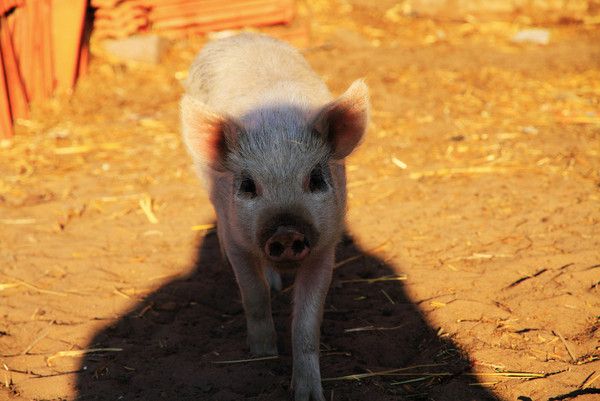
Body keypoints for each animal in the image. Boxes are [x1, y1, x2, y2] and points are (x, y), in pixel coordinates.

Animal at [180, 32, 368, 398]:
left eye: (316, 178)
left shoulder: (325, 247)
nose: (286, 231)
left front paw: (308, 395)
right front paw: (263, 354)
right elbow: (253, 293)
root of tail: (237, 35)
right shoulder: (238, 239)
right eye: (248, 185)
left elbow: (308, 323)